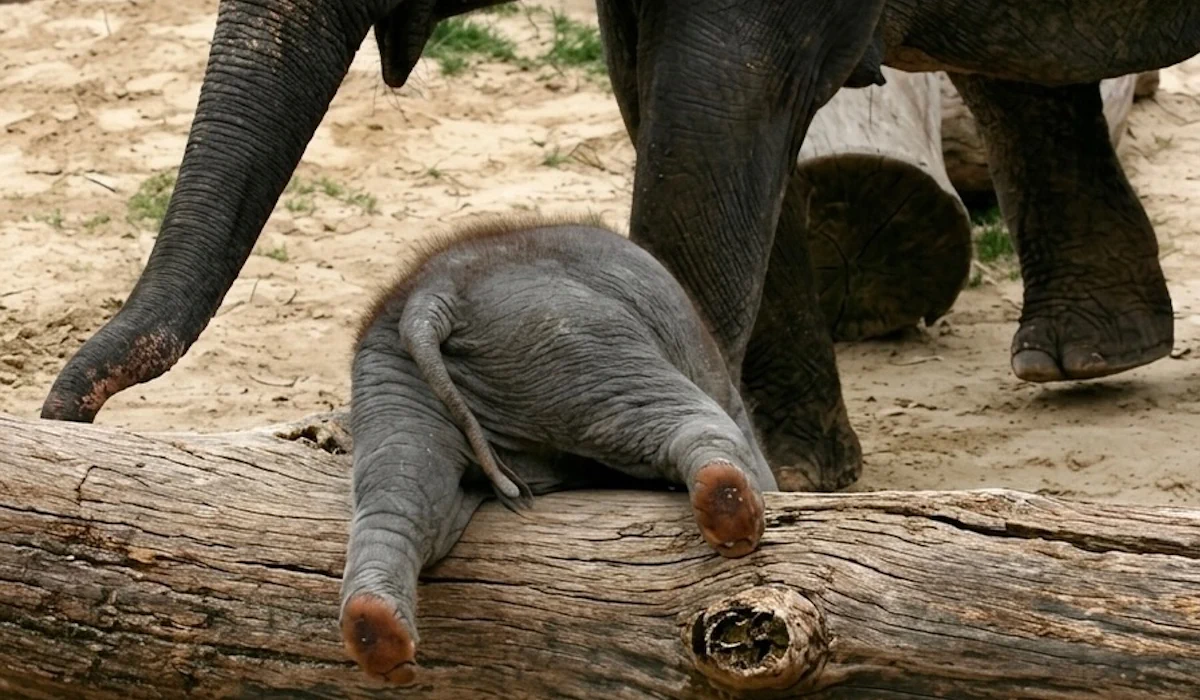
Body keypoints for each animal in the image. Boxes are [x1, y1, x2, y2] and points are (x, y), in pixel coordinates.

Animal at [339, 215, 775, 683]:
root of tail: (429, 298)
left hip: (395, 382)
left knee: (401, 495)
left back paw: (376, 635)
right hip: (562, 334)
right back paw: (733, 516)